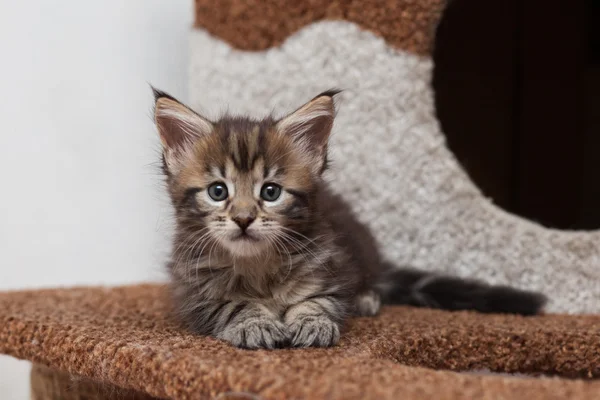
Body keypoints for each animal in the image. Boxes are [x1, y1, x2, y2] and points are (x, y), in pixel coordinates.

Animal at [152, 88, 548, 350]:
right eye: (218, 192)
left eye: (271, 192)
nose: (244, 219)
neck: (257, 265)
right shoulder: (194, 291)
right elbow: (230, 304)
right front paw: (254, 323)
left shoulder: (330, 263)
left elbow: (320, 300)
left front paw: (313, 323)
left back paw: (366, 298)